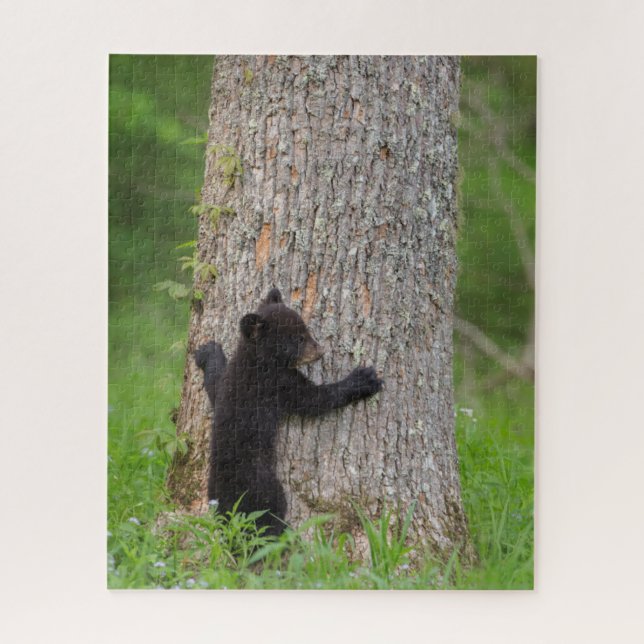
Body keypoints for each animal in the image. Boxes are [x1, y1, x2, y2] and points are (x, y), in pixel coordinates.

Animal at [194, 287, 383, 535]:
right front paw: (363, 380)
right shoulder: (278, 384)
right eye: (297, 338)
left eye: (305, 329)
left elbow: (215, 384)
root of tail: (228, 509)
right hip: (265, 488)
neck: (257, 359)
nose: (320, 350)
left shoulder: (228, 383)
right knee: (268, 520)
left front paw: (207, 350)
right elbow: (314, 400)